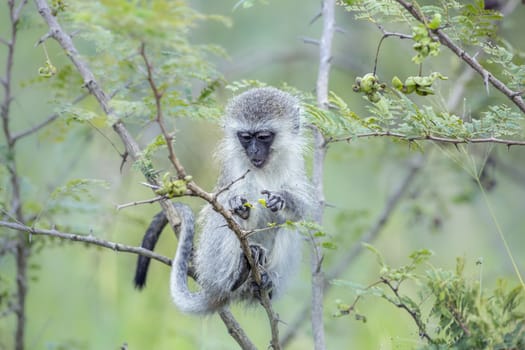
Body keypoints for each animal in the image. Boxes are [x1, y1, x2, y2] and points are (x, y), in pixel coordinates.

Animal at [133, 87, 312, 314]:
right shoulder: (233, 170)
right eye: (245, 137)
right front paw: (240, 207)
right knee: (223, 221)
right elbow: (226, 208)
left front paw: (282, 199)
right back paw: (237, 275)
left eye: (263, 136)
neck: (264, 168)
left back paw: (265, 282)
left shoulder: (294, 163)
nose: (253, 151)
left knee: (288, 224)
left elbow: (302, 208)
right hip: (212, 265)